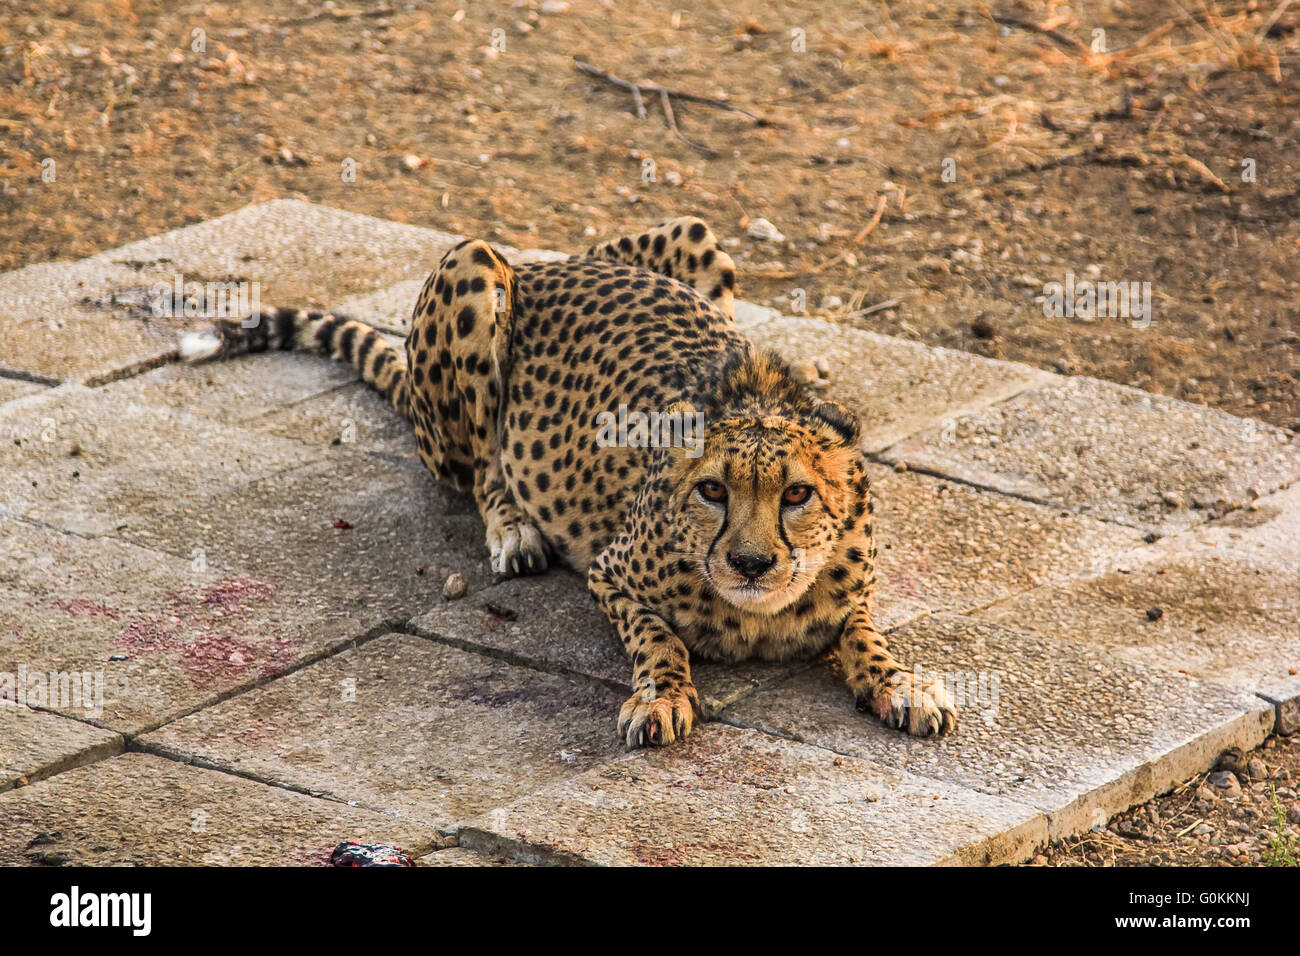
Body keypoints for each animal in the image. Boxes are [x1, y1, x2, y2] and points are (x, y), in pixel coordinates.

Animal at [180, 217, 956, 749]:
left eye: (797, 495)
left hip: (697, 234)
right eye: (713, 491)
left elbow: (864, 630)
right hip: (473, 270)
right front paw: (662, 696)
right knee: (479, 469)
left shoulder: (851, 590)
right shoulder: (612, 574)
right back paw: (515, 531)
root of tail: (550, 265)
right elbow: (660, 639)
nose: (750, 562)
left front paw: (901, 682)